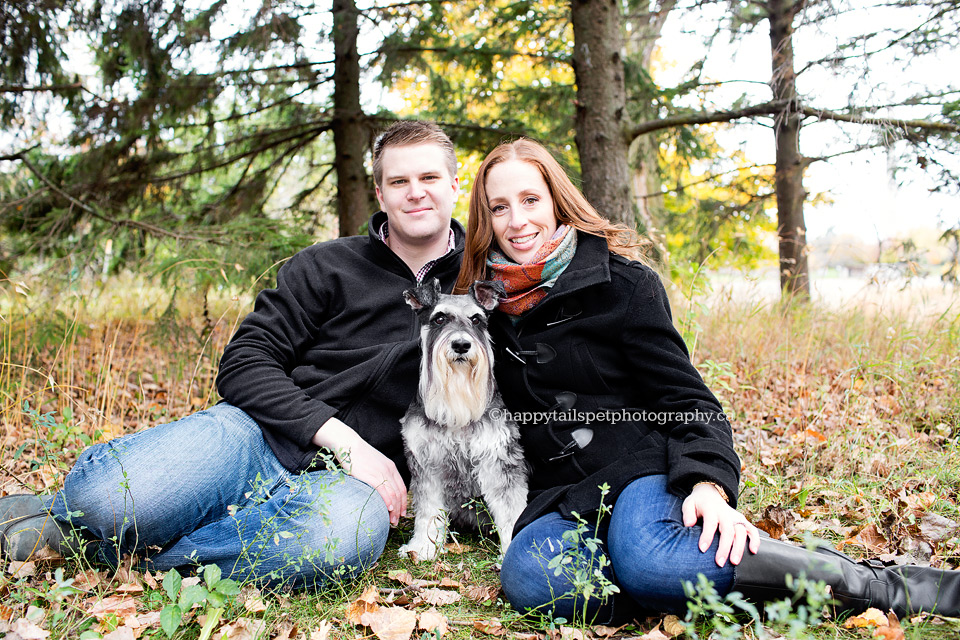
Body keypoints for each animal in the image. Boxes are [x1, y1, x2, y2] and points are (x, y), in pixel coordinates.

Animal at [400, 278, 532, 564]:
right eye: (439, 318)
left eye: (476, 319)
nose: (461, 344)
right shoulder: (427, 464)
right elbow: (428, 509)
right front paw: (423, 547)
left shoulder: (497, 460)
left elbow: (510, 509)